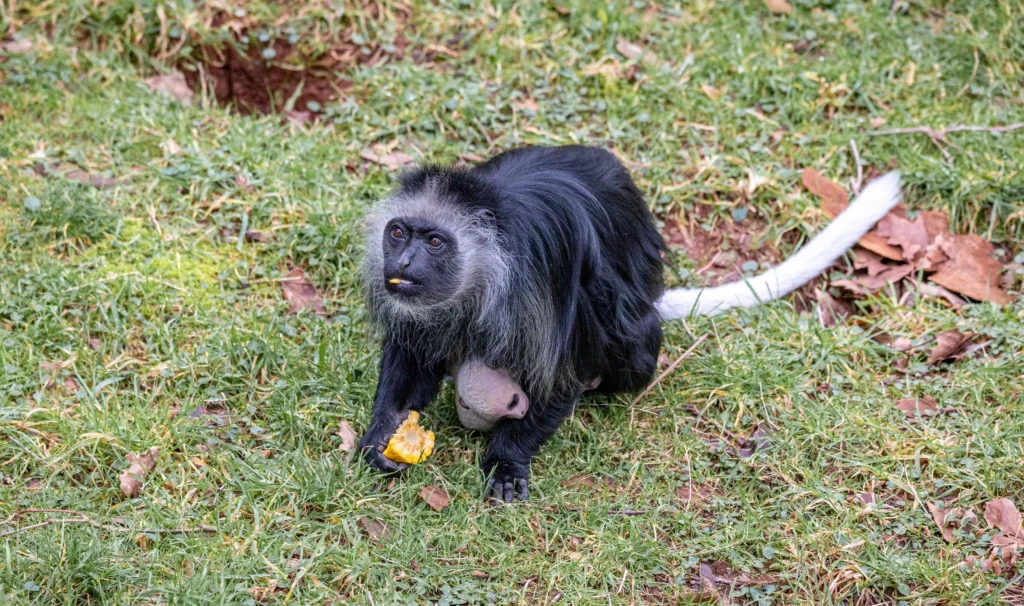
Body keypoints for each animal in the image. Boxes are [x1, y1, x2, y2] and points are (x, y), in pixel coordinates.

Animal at [357, 145, 902, 503]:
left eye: (434, 242)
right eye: (399, 233)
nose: (402, 262)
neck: (485, 263)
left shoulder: (539, 282)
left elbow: (564, 374)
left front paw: (508, 460)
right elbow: (413, 353)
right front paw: (382, 433)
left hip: (633, 339)